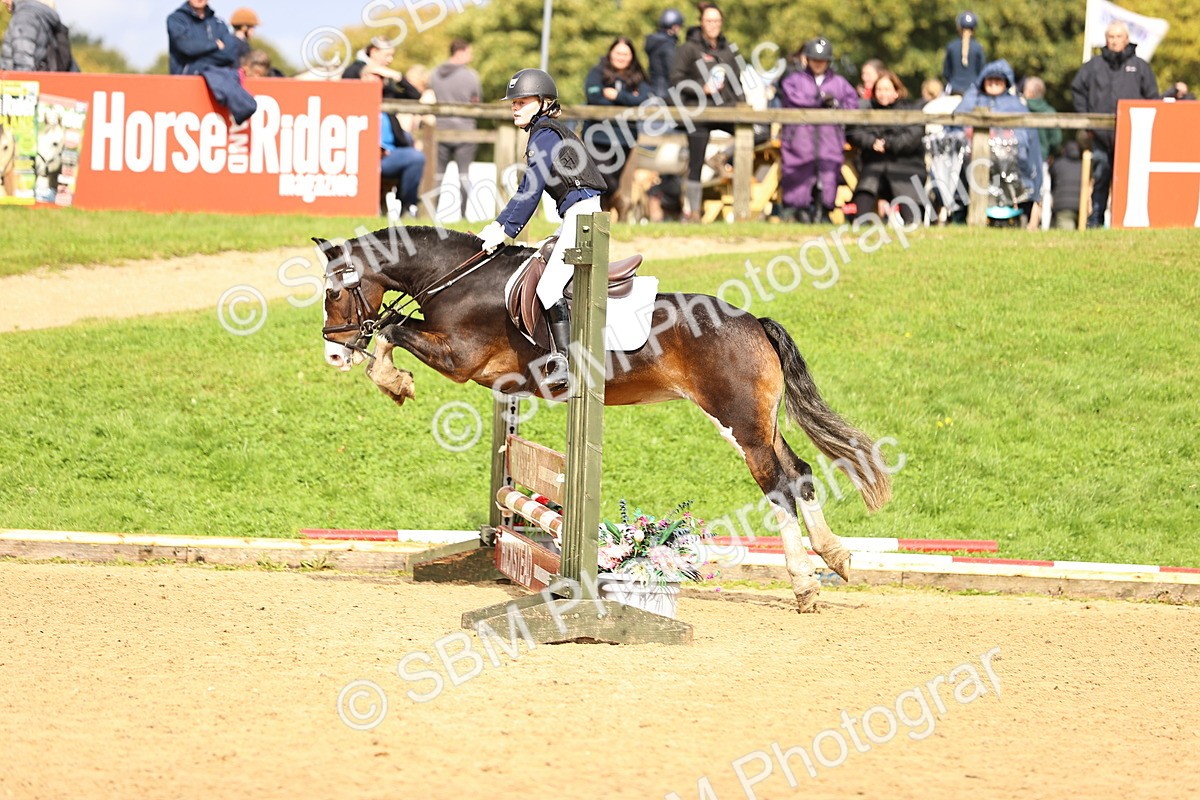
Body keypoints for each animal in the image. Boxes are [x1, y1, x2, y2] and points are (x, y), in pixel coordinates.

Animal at [317, 226, 892, 612]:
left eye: (334, 291)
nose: (334, 354)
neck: (457, 279)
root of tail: (753, 321)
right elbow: (394, 330)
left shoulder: (461, 360)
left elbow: (392, 332)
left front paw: (394, 382)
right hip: (755, 423)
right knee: (799, 473)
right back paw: (835, 558)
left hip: (738, 422)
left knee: (777, 485)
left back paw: (805, 585)